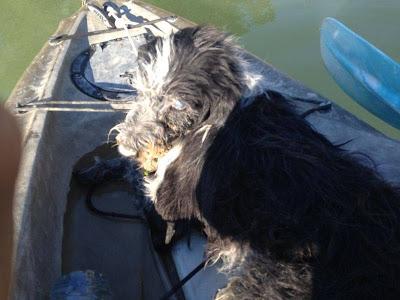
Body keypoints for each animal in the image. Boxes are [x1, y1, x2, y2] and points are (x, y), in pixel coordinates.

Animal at [111, 27, 400, 298]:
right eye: (140, 89)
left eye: (178, 104)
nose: (124, 142)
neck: (216, 113)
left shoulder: (168, 198)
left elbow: (142, 185)